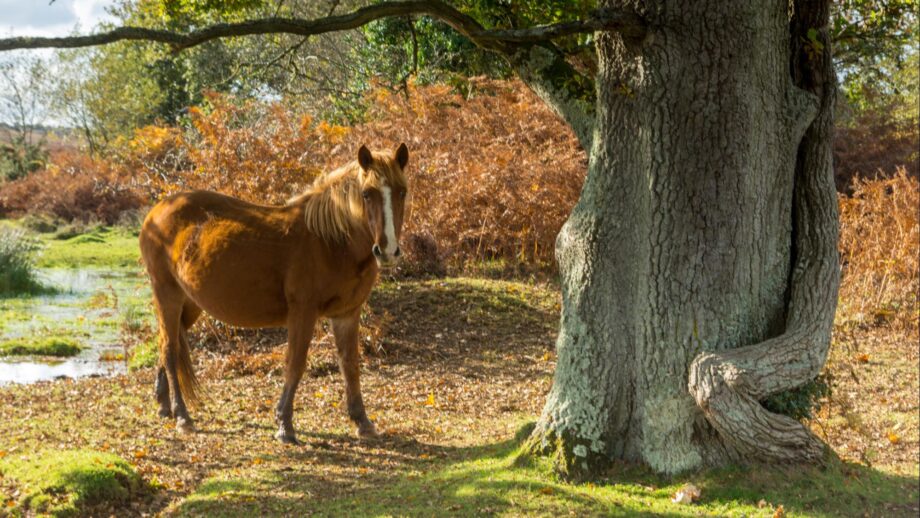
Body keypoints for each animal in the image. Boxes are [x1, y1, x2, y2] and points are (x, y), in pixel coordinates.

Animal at [139, 143, 409, 444]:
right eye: (366, 193)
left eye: (402, 191)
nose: (387, 251)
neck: (331, 242)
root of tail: (156, 212)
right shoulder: (303, 313)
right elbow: (296, 363)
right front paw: (285, 424)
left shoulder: (347, 314)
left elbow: (350, 364)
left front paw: (362, 421)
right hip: (168, 295)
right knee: (170, 349)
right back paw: (182, 415)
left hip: (190, 306)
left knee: (166, 343)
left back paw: (164, 405)